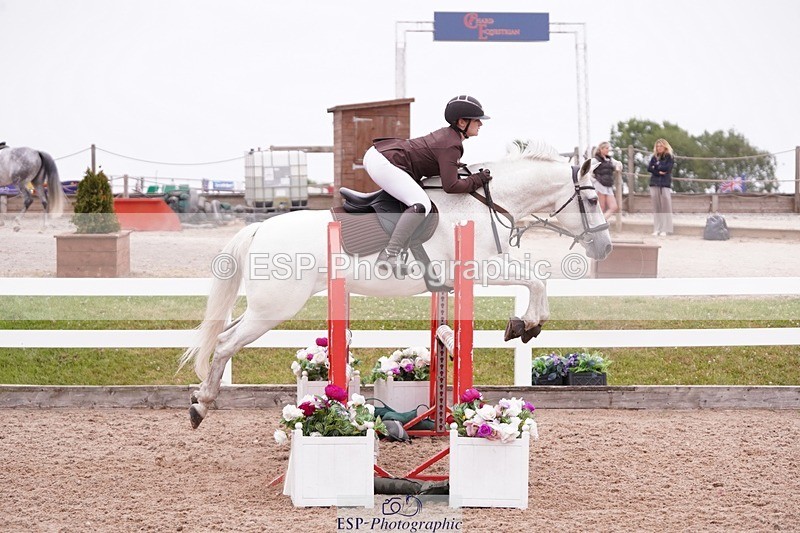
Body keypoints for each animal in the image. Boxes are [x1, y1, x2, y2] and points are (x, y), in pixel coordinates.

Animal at [179, 140, 613, 428]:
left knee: (225, 337)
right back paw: (202, 404)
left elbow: (536, 277)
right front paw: (527, 325)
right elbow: (536, 278)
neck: (487, 202)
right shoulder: (479, 270)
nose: (606, 248)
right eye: (592, 202)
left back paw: (201, 400)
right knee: (225, 344)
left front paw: (525, 324)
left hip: (265, 307)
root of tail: (258, 228)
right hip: (275, 307)